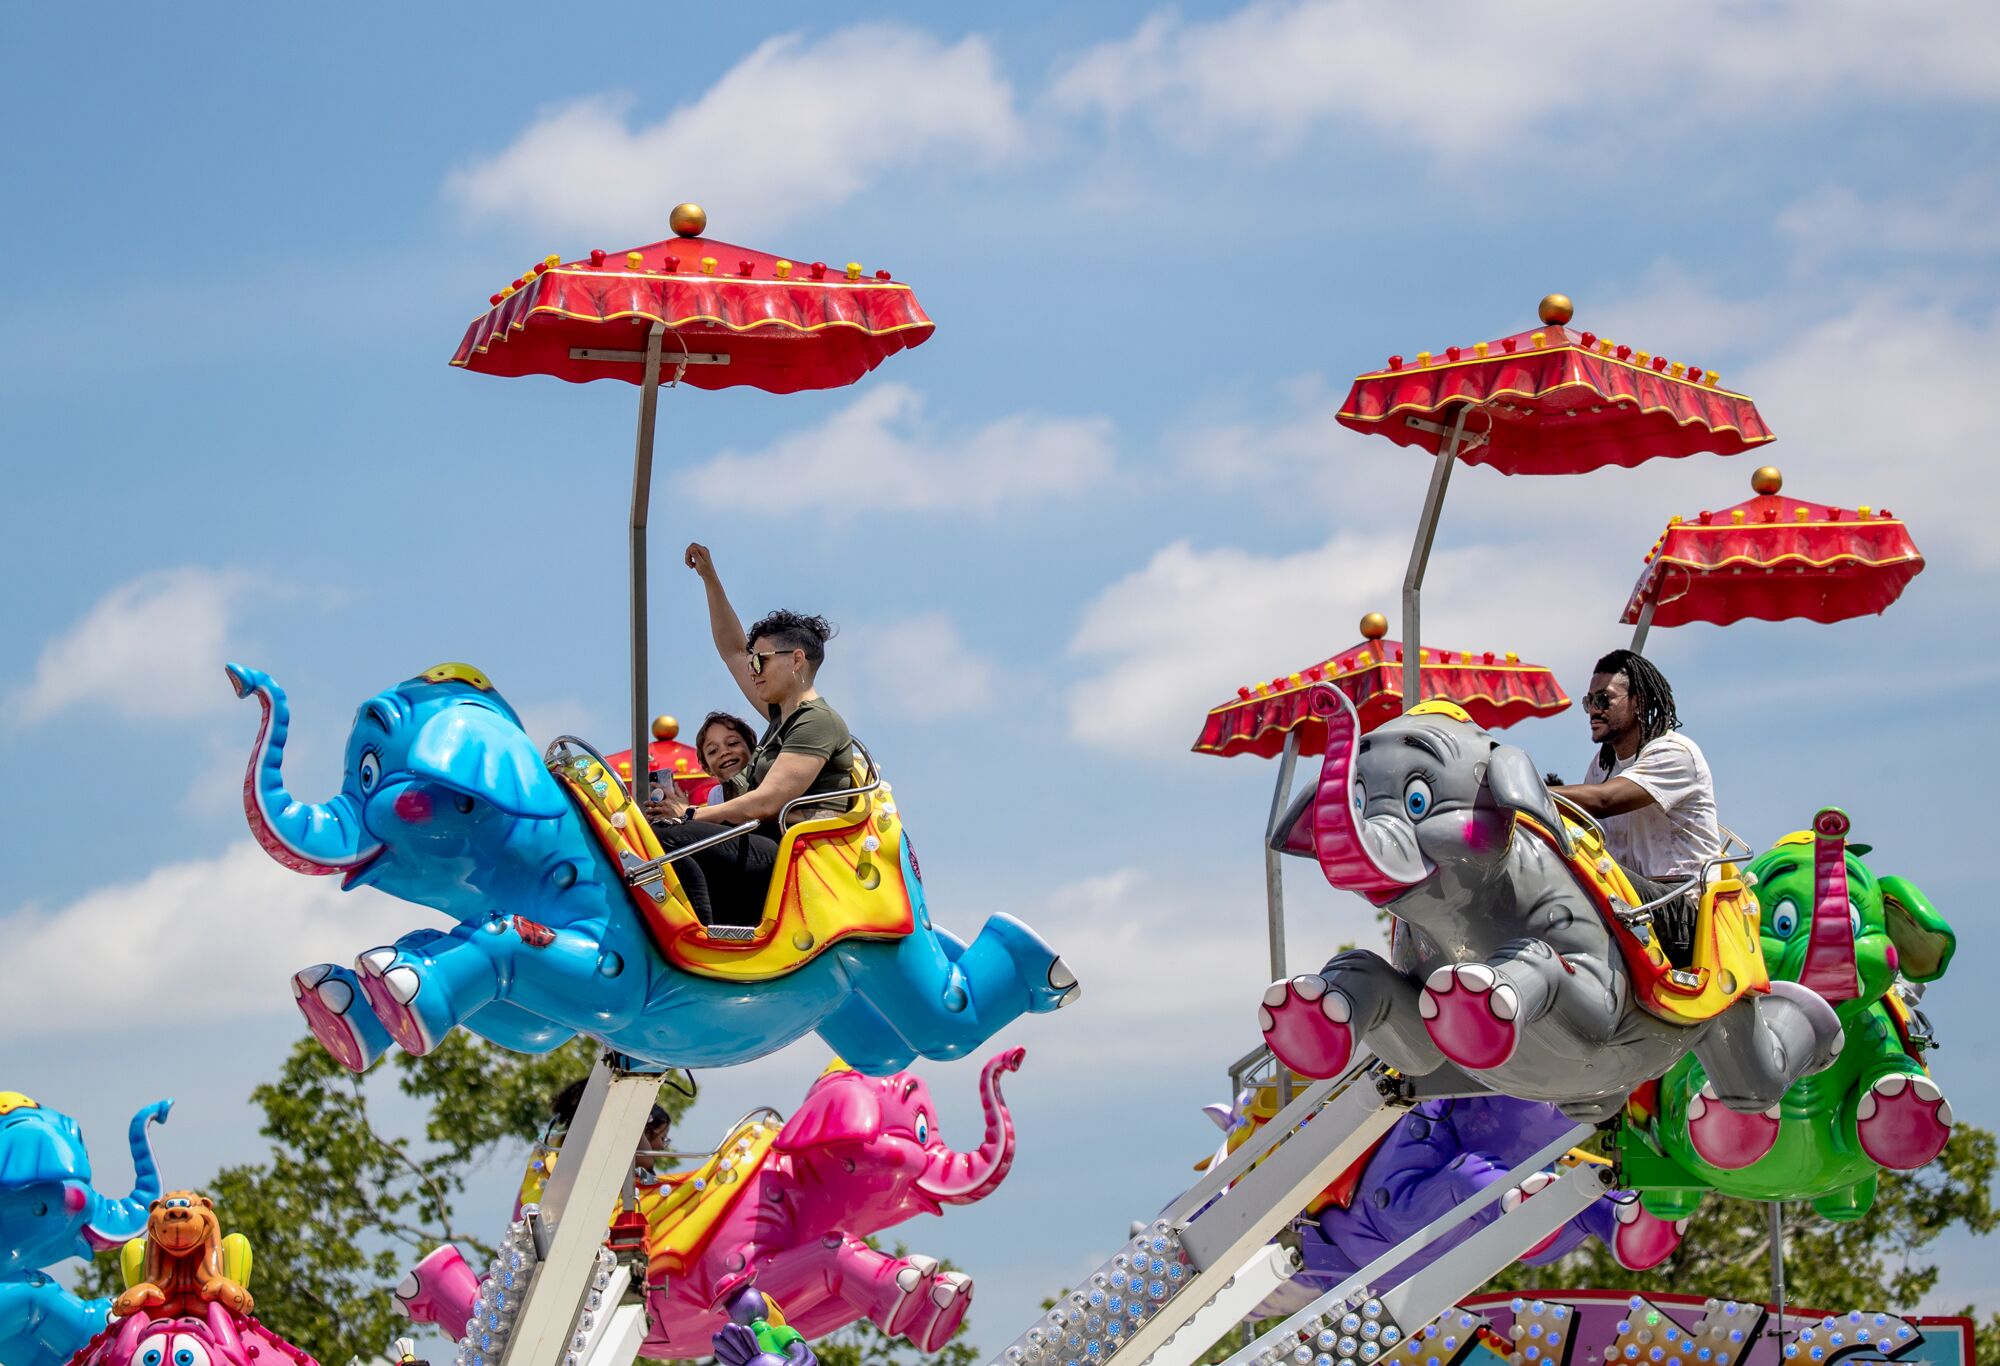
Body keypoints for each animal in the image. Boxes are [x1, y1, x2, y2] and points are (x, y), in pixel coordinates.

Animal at [223, 664, 1080, 1080]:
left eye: (372, 772)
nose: (239, 679)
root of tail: (874, 801)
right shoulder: (541, 1019)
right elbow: (496, 992)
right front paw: (342, 999)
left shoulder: (615, 970)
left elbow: (510, 942)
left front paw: (396, 992)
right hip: (847, 998)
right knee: (888, 1051)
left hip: (881, 945)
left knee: (949, 1018)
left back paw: (1044, 961)